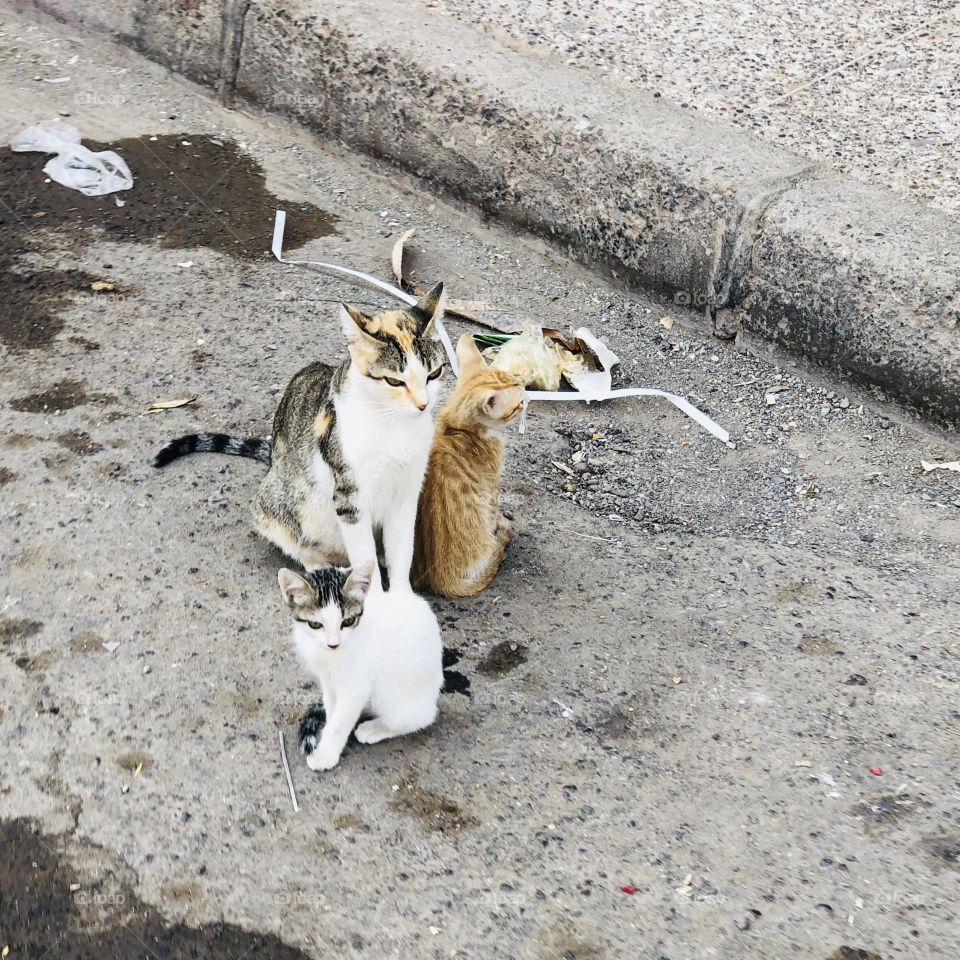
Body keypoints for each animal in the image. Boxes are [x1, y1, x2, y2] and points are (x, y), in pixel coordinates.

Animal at [154, 284, 446, 588]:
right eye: (394, 381)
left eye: (434, 373)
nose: (423, 404)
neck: (394, 426)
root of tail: (272, 454)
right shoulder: (349, 498)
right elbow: (362, 554)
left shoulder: (407, 490)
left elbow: (402, 548)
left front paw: (402, 594)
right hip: (277, 506)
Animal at [278, 560, 442, 768]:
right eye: (315, 625)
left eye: (348, 621)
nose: (333, 644)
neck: (332, 656)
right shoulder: (328, 681)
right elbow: (333, 708)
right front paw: (328, 733)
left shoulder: (356, 687)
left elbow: (340, 723)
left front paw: (325, 754)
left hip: (397, 695)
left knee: (418, 718)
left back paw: (376, 728)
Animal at [410, 334, 524, 596]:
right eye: (519, 404)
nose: (527, 390)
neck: (456, 426)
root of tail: (444, 582)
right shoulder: (490, 486)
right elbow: (492, 509)